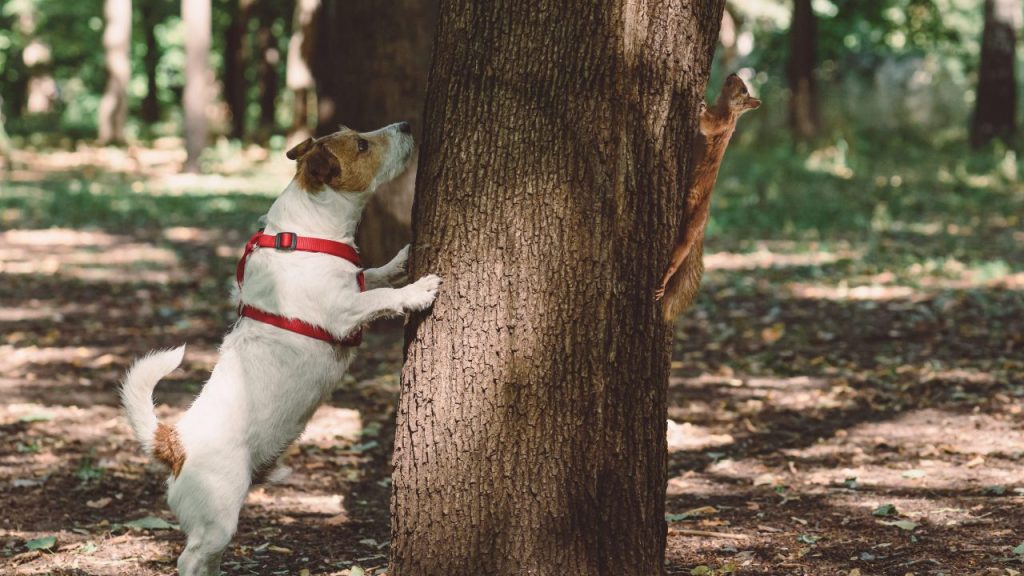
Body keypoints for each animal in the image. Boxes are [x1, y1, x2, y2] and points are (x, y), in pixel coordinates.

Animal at [119, 121, 440, 573]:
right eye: (361, 144)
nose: (408, 125)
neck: (306, 234)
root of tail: (175, 442)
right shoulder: (343, 312)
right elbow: (381, 297)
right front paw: (418, 290)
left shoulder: (354, 285)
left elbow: (373, 275)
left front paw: (400, 260)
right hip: (217, 518)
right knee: (190, 559)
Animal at [655, 72, 761, 317]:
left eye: (744, 90)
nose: (732, 74)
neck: (723, 107)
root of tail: (703, 223)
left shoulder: (720, 124)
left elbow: (707, 125)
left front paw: (700, 106)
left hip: (690, 230)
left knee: (678, 255)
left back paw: (663, 282)